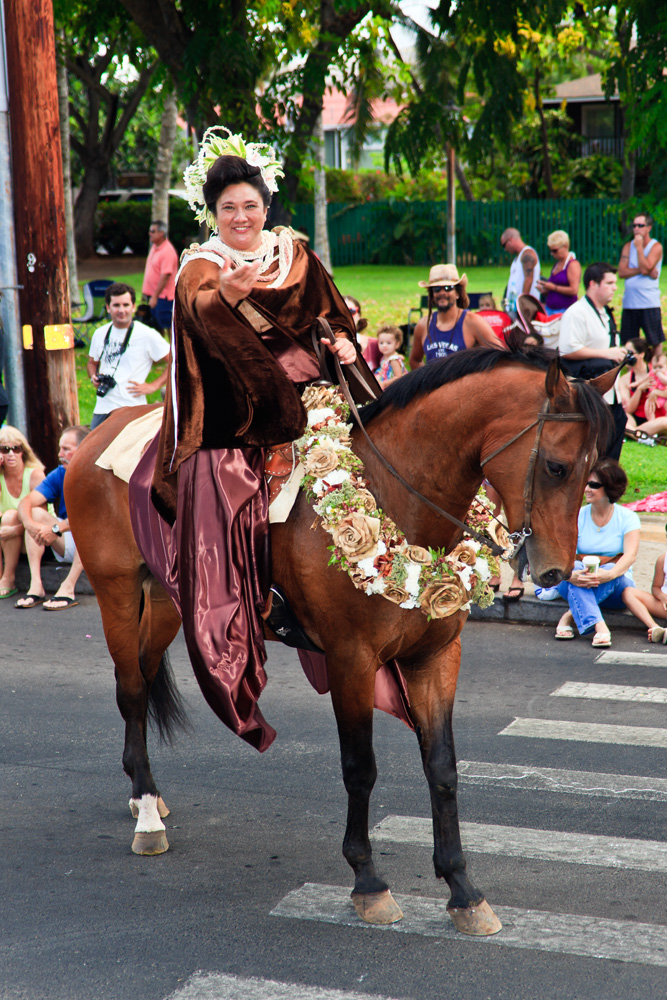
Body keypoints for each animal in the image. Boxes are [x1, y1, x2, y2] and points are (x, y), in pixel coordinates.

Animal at [65, 350, 612, 936]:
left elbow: (442, 767)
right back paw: (146, 814)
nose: (556, 571)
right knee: (131, 689)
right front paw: (368, 881)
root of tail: (96, 439)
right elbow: (360, 768)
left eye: (591, 473)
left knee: (143, 679)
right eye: (556, 467)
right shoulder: (352, 660)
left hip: (168, 599)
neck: (399, 499)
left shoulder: (436, 658)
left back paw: (147, 793)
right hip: (117, 592)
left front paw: (462, 888)